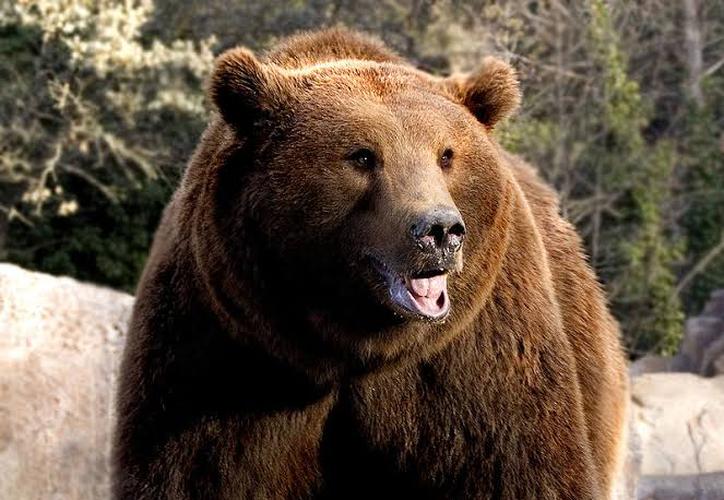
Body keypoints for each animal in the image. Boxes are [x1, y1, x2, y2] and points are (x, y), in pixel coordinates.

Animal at [111, 28, 628, 500]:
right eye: (362, 156)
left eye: (447, 154)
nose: (440, 230)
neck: (355, 345)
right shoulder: (222, 351)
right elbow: (196, 469)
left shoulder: (475, 358)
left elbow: (515, 466)